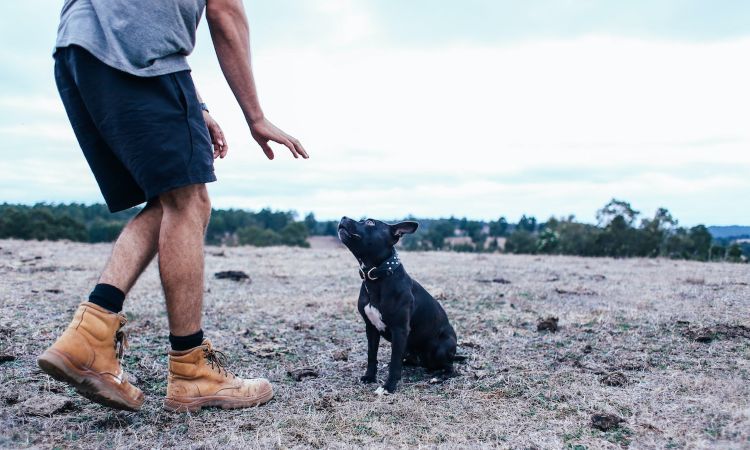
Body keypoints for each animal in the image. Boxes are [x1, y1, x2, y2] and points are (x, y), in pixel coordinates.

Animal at [340, 216, 458, 392]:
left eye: (370, 222)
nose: (343, 217)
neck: (378, 277)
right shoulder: (371, 328)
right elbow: (371, 355)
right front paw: (370, 377)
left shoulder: (400, 330)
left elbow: (394, 361)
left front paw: (389, 386)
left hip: (441, 348)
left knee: (451, 368)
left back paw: (438, 377)